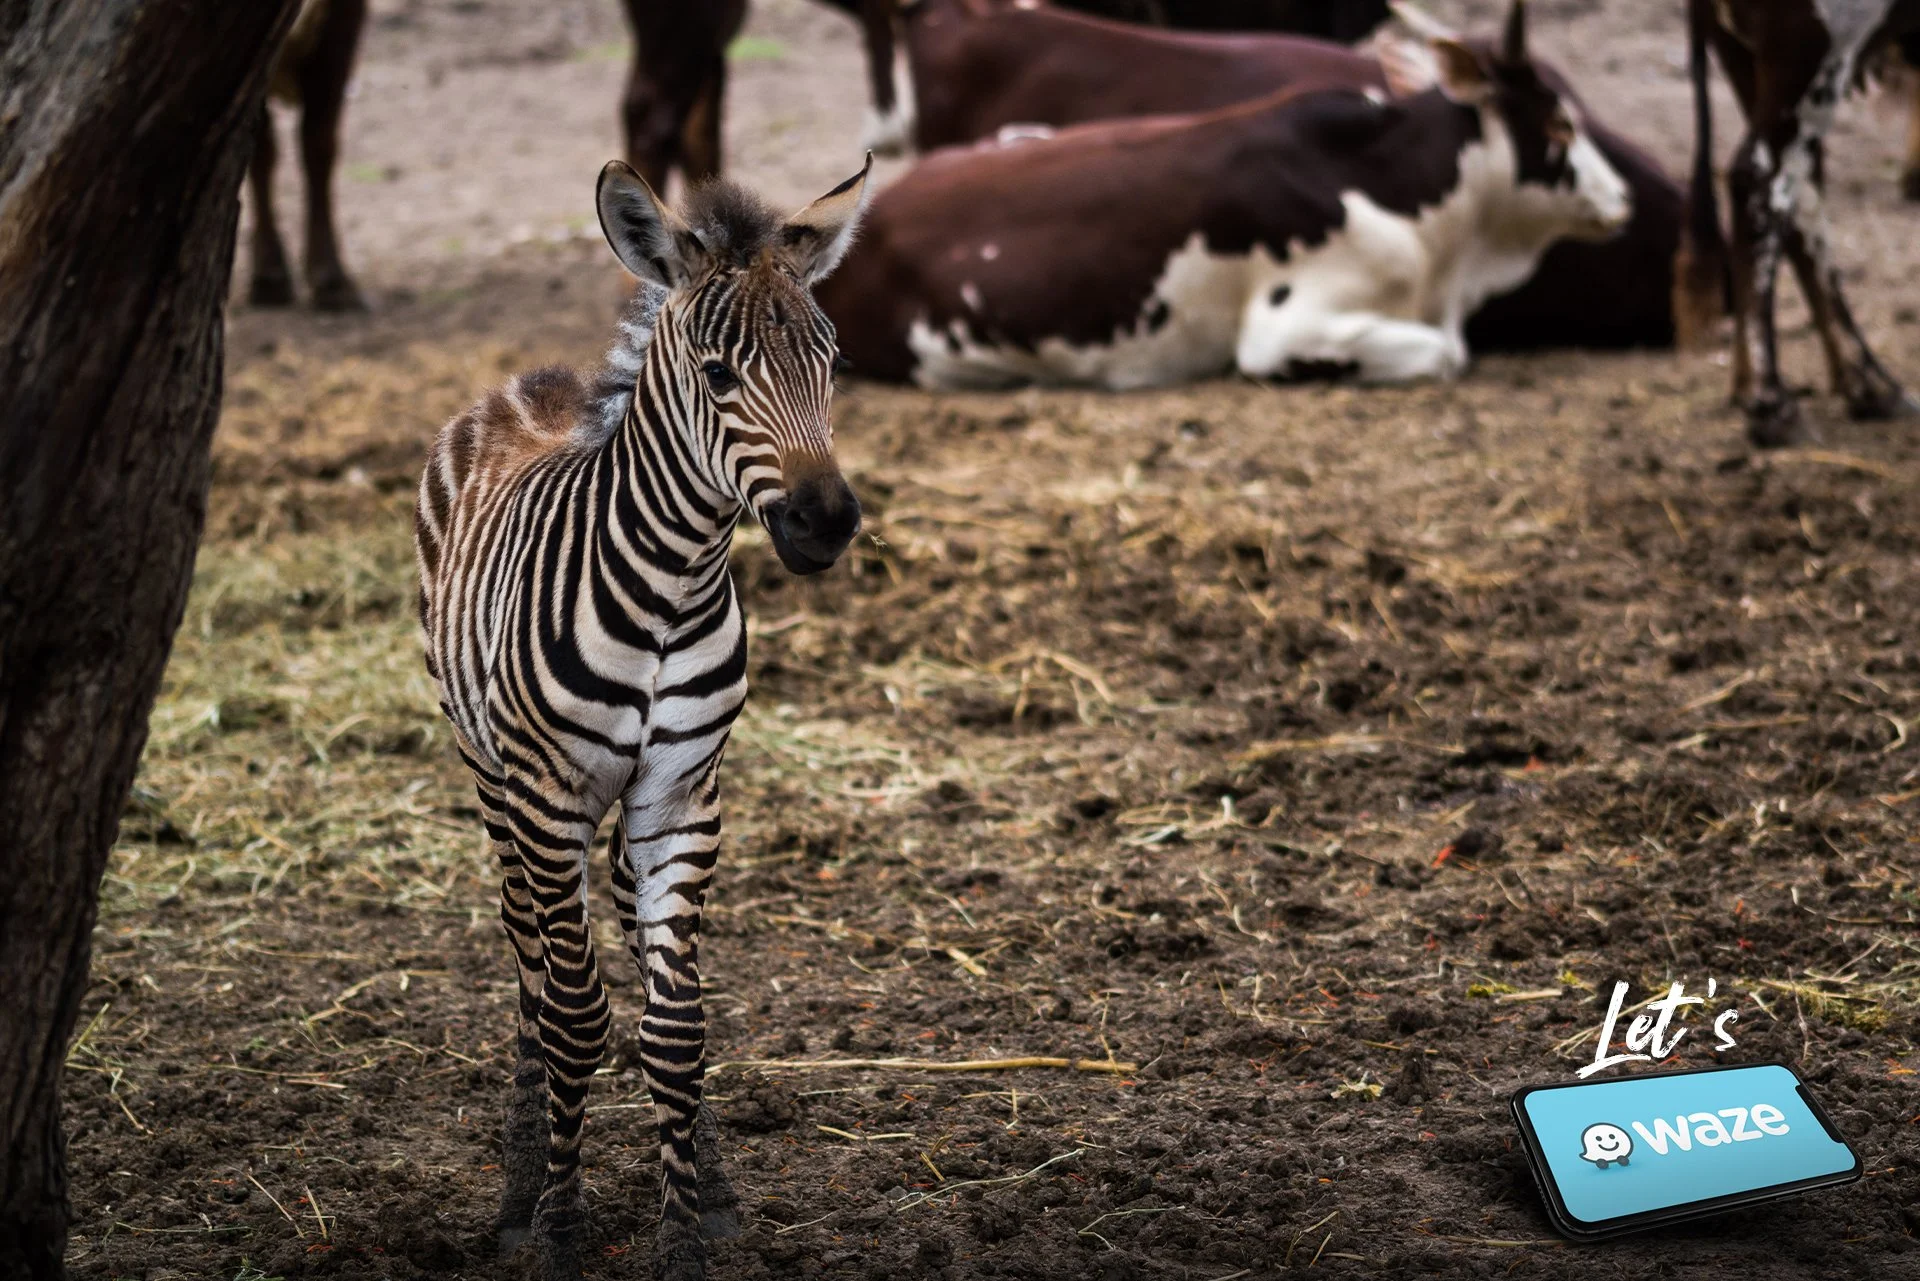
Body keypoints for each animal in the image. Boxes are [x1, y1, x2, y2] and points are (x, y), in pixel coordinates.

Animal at [414, 156, 871, 1281]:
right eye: (716, 374)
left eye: (835, 362)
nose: (827, 522)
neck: (672, 585)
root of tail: (537, 382)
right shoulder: (546, 796)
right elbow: (575, 1017)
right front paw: (558, 1225)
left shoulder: (682, 793)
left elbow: (677, 1025)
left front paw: (686, 1226)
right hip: (492, 775)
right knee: (529, 959)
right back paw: (519, 1187)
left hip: (621, 811)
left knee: (620, 929)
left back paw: (706, 1178)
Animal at [1673, 0, 1920, 447]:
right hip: (1812, 48)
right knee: (1760, 177)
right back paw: (1773, 402)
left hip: (1746, 56)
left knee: (1799, 191)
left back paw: (1867, 384)